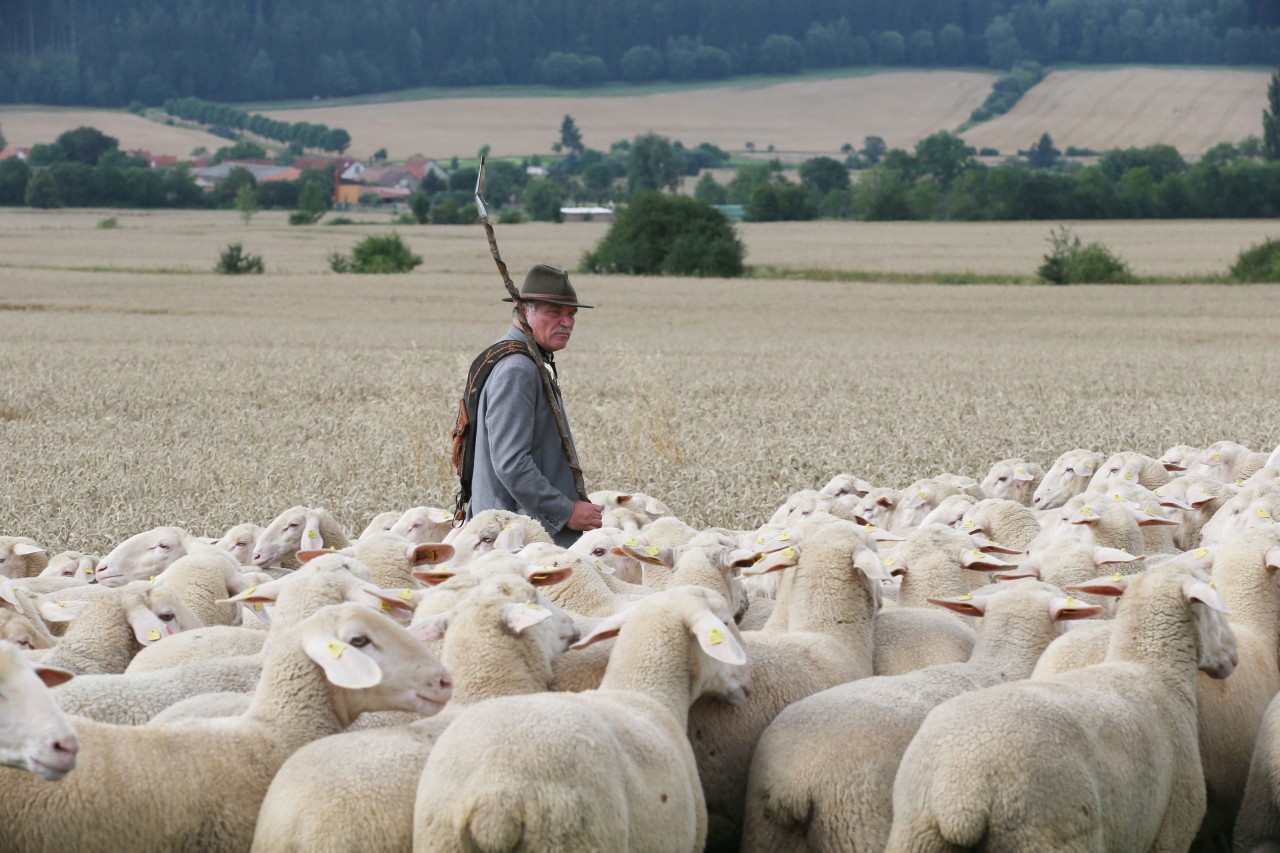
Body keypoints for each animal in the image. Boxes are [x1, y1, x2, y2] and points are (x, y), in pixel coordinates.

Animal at [885, 560, 1233, 845]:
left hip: (915, 830)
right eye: (1212, 607)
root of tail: (960, 795)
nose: (1233, 656)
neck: (1148, 667)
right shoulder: (1174, 826)